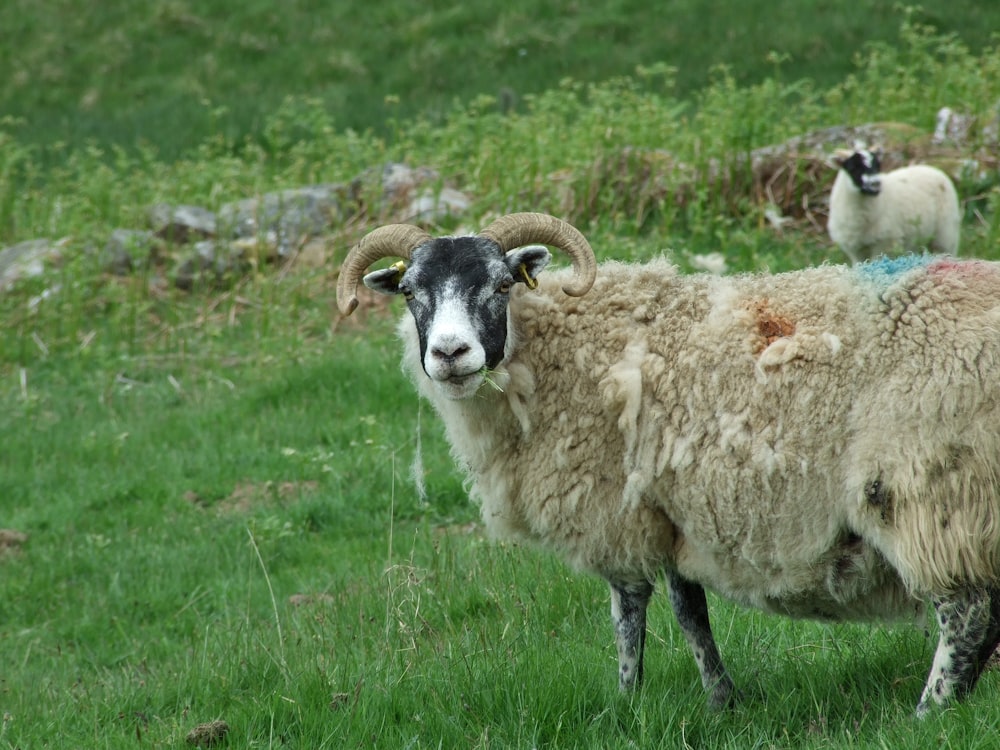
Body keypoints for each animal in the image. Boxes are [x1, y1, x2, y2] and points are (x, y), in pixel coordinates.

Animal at [336, 214, 1000, 720]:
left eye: (501, 286)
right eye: (410, 291)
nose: (450, 353)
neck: (561, 348)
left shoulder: (620, 509)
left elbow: (631, 612)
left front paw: (626, 700)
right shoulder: (675, 510)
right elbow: (690, 611)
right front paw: (721, 701)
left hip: (931, 485)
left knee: (966, 612)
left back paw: (928, 713)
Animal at [828, 144, 960, 264]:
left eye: (878, 165)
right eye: (853, 167)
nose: (876, 184)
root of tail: (931, 168)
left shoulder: (884, 243)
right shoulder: (855, 250)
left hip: (945, 233)